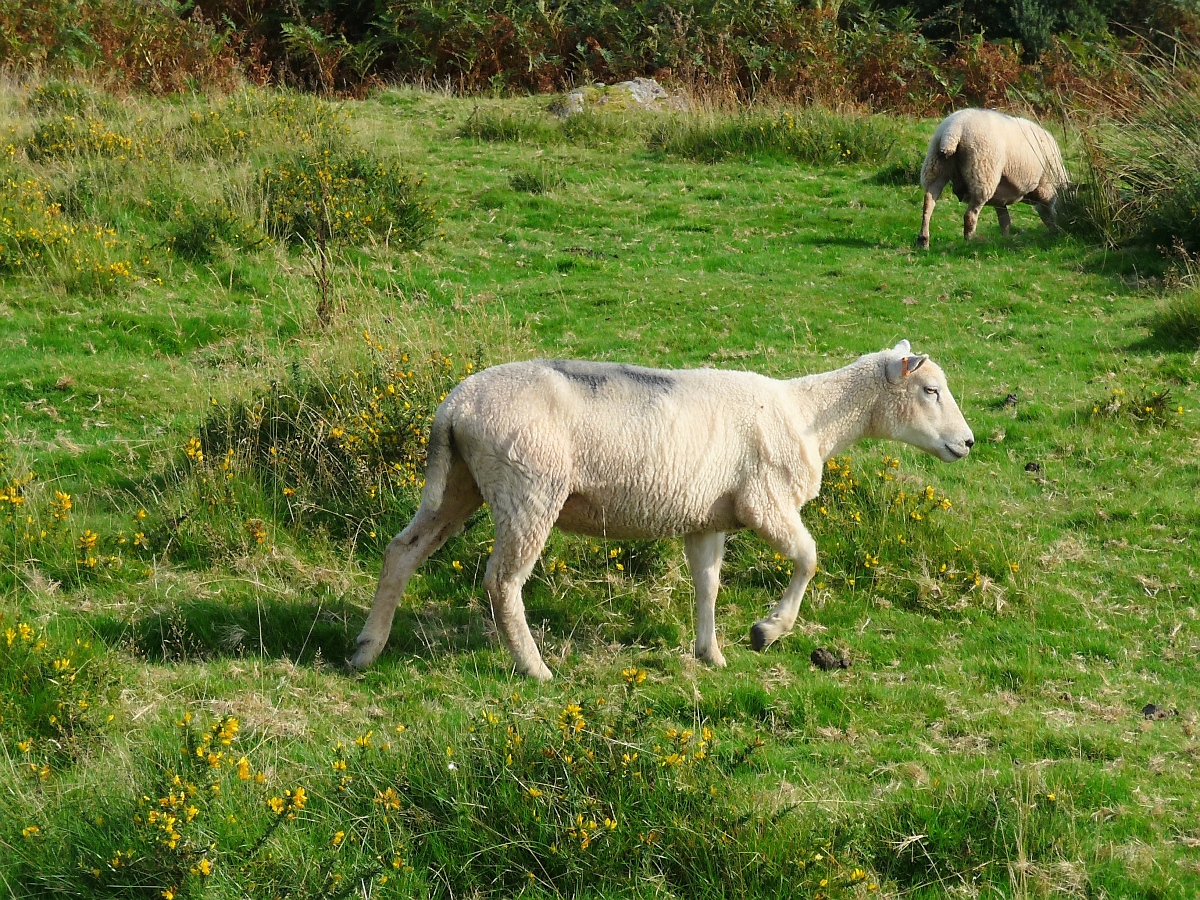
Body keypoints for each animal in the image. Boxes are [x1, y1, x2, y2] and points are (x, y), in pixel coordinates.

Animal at [348, 340, 974, 681]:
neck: (810, 417)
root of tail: (454, 407)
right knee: (502, 581)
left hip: (462, 484)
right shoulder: (765, 500)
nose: (968, 443)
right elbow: (808, 559)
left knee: (401, 552)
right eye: (931, 391)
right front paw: (767, 631)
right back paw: (534, 667)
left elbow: (708, 585)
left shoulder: (709, 518)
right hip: (529, 488)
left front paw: (710, 653)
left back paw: (365, 650)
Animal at [916, 109, 1070, 250]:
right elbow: (1048, 213)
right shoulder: (1046, 190)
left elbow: (1005, 220)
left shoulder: (1000, 198)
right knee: (970, 215)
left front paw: (1005, 239)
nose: (1058, 233)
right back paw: (970, 241)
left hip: (935, 167)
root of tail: (953, 131)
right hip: (982, 174)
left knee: (928, 203)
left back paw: (923, 241)